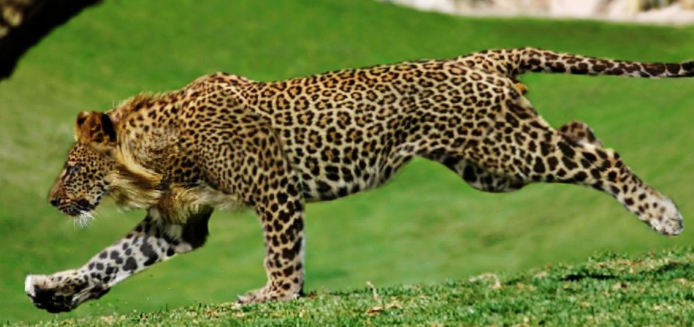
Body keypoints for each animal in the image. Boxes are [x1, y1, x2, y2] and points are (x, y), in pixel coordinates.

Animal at [23, 47, 692, 314]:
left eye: (71, 168)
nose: (52, 200)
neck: (155, 156)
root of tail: (480, 57)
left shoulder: (274, 191)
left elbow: (281, 255)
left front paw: (274, 297)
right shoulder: (177, 224)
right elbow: (108, 261)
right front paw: (53, 291)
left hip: (509, 150)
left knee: (598, 161)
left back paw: (661, 212)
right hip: (492, 167)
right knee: (585, 135)